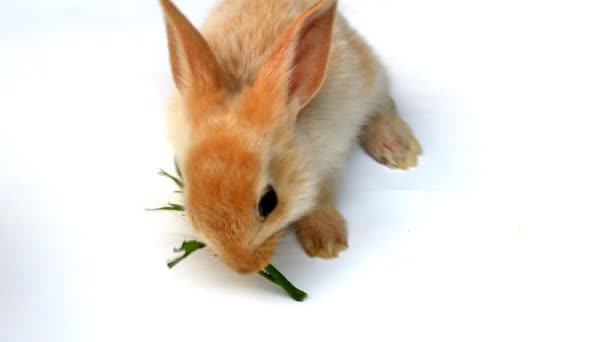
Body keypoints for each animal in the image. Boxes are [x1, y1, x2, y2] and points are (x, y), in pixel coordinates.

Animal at [159, 0, 420, 272]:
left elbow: (319, 198)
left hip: (368, 72)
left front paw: (326, 243)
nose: (242, 267)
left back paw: (398, 150)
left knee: (383, 101)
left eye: (269, 202)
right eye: (187, 188)